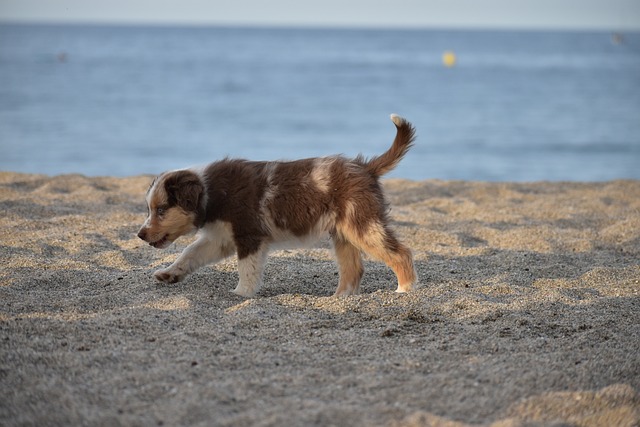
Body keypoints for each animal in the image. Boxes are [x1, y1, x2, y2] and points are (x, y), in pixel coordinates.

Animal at [137, 115, 418, 300]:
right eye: (150, 209)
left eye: (161, 209)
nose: (139, 234)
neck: (210, 192)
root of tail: (365, 168)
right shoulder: (220, 238)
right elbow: (190, 253)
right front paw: (169, 274)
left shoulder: (250, 236)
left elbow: (247, 269)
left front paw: (242, 293)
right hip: (343, 232)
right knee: (353, 269)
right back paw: (338, 299)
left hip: (362, 225)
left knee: (400, 253)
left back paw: (404, 290)